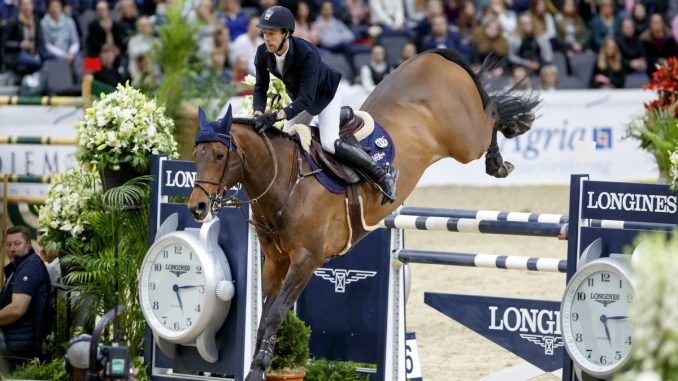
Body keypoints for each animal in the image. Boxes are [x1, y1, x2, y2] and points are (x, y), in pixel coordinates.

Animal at [189, 49, 540, 378]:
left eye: (219, 155)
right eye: (196, 155)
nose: (197, 206)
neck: (287, 182)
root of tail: (432, 55)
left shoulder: (306, 260)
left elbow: (276, 313)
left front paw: (259, 369)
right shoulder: (276, 261)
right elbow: (264, 316)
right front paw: (255, 367)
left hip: (466, 140)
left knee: (491, 113)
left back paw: (502, 153)